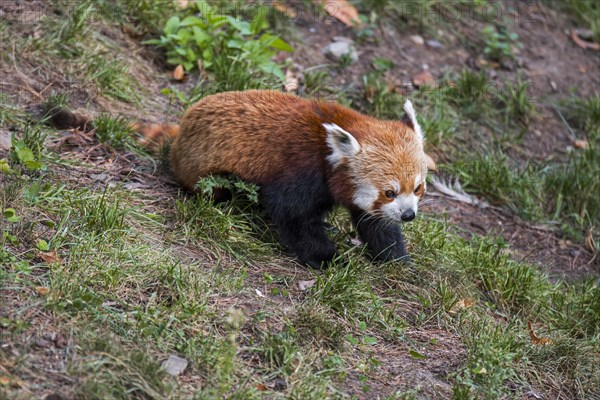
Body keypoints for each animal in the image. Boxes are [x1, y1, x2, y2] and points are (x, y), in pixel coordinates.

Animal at [49, 89, 428, 268]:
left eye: (418, 188)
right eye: (389, 191)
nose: (409, 214)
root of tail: (181, 132)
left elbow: (373, 223)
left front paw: (393, 256)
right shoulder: (300, 168)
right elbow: (291, 213)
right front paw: (324, 257)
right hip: (210, 175)